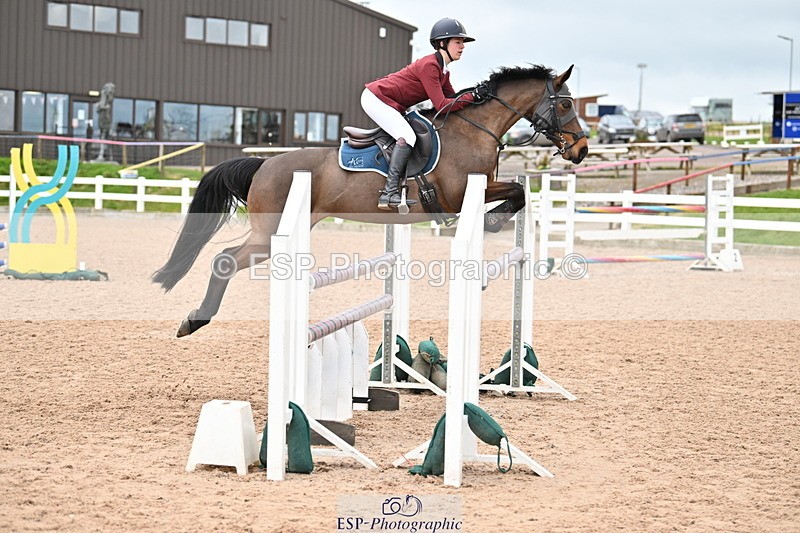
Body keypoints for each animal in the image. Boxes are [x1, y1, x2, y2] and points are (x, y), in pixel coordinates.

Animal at [153, 64, 589, 337]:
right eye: (566, 104)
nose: (581, 149)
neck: (474, 129)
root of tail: (264, 164)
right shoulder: (459, 194)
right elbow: (515, 193)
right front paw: (490, 222)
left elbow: (517, 192)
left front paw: (493, 222)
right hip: (268, 234)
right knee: (224, 260)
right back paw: (195, 320)